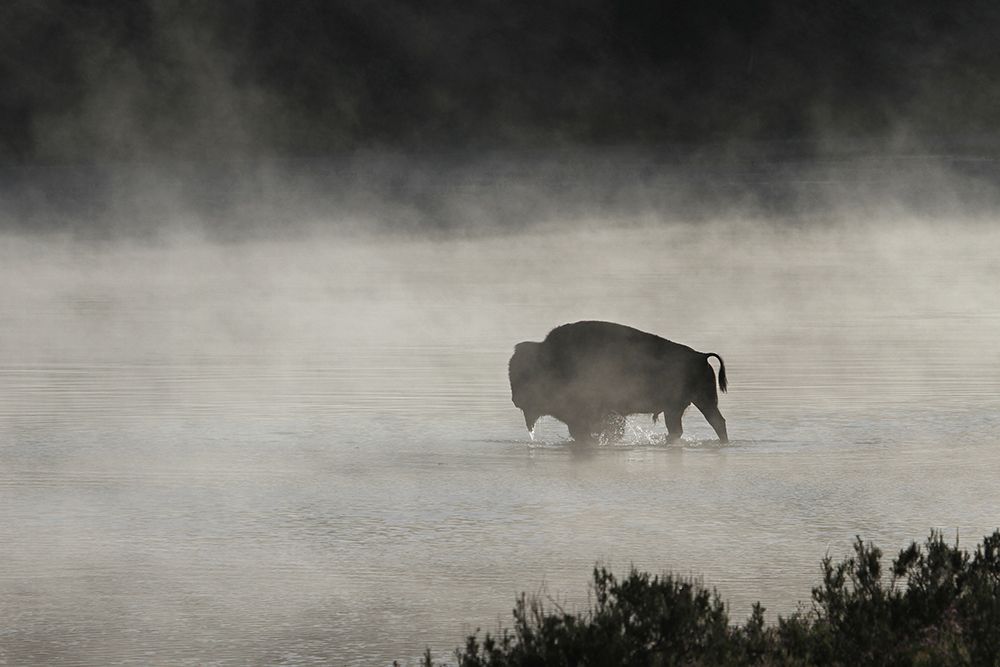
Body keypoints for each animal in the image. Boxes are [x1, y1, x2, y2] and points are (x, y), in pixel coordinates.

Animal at [508, 321, 728, 443]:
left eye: (525, 375)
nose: (516, 400)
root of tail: (700, 357)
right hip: (688, 405)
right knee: (708, 424)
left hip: (691, 404)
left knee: (710, 424)